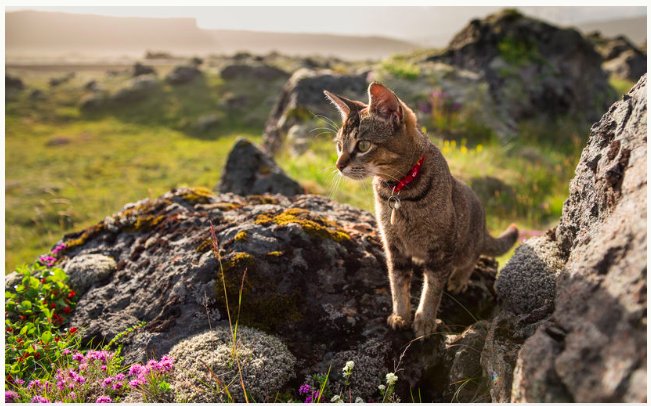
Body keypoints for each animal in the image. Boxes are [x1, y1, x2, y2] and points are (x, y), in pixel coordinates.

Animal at [326, 81, 520, 336]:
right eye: (339, 146)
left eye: (363, 145)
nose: (338, 165)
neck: (399, 191)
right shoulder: (394, 246)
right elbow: (397, 283)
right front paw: (401, 315)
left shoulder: (442, 248)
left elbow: (433, 288)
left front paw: (425, 320)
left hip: (467, 244)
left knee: (471, 258)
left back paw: (458, 279)